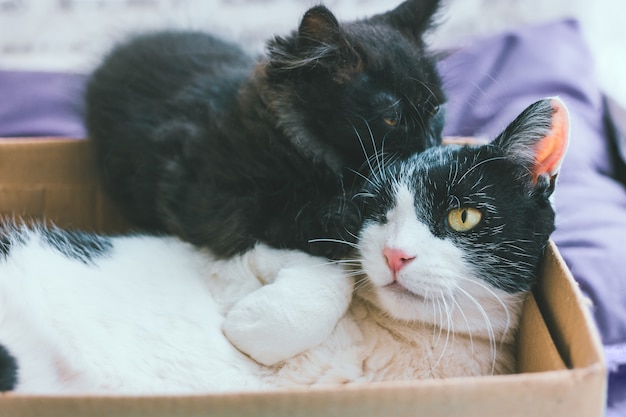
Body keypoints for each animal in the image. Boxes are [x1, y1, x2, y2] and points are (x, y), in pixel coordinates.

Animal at [0, 97, 564, 394]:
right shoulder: (246, 248)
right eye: (374, 210)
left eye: (463, 216)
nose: (394, 255)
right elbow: (330, 276)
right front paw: (246, 329)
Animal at [85, 0, 444, 258]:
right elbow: (286, 216)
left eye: (436, 110)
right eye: (391, 118)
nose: (428, 143)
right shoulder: (211, 202)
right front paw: (343, 220)